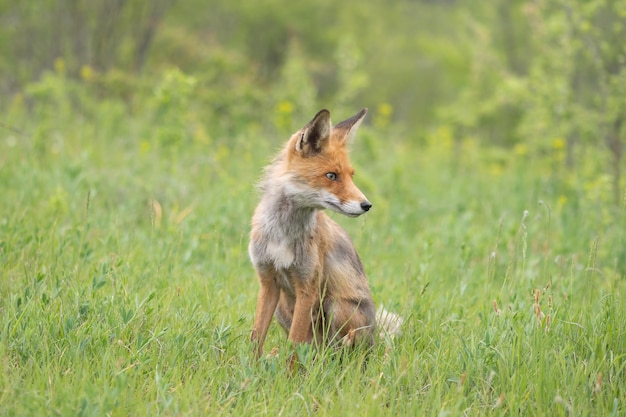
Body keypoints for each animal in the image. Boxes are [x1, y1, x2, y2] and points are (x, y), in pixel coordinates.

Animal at [249, 108, 400, 358]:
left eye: (351, 175)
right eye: (331, 176)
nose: (367, 205)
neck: (283, 234)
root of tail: (375, 342)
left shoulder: (308, 287)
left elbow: (294, 345)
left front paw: (289, 370)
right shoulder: (267, 281)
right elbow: (256, 337)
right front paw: (249, 367)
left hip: (335, 304)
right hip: (282, 306)